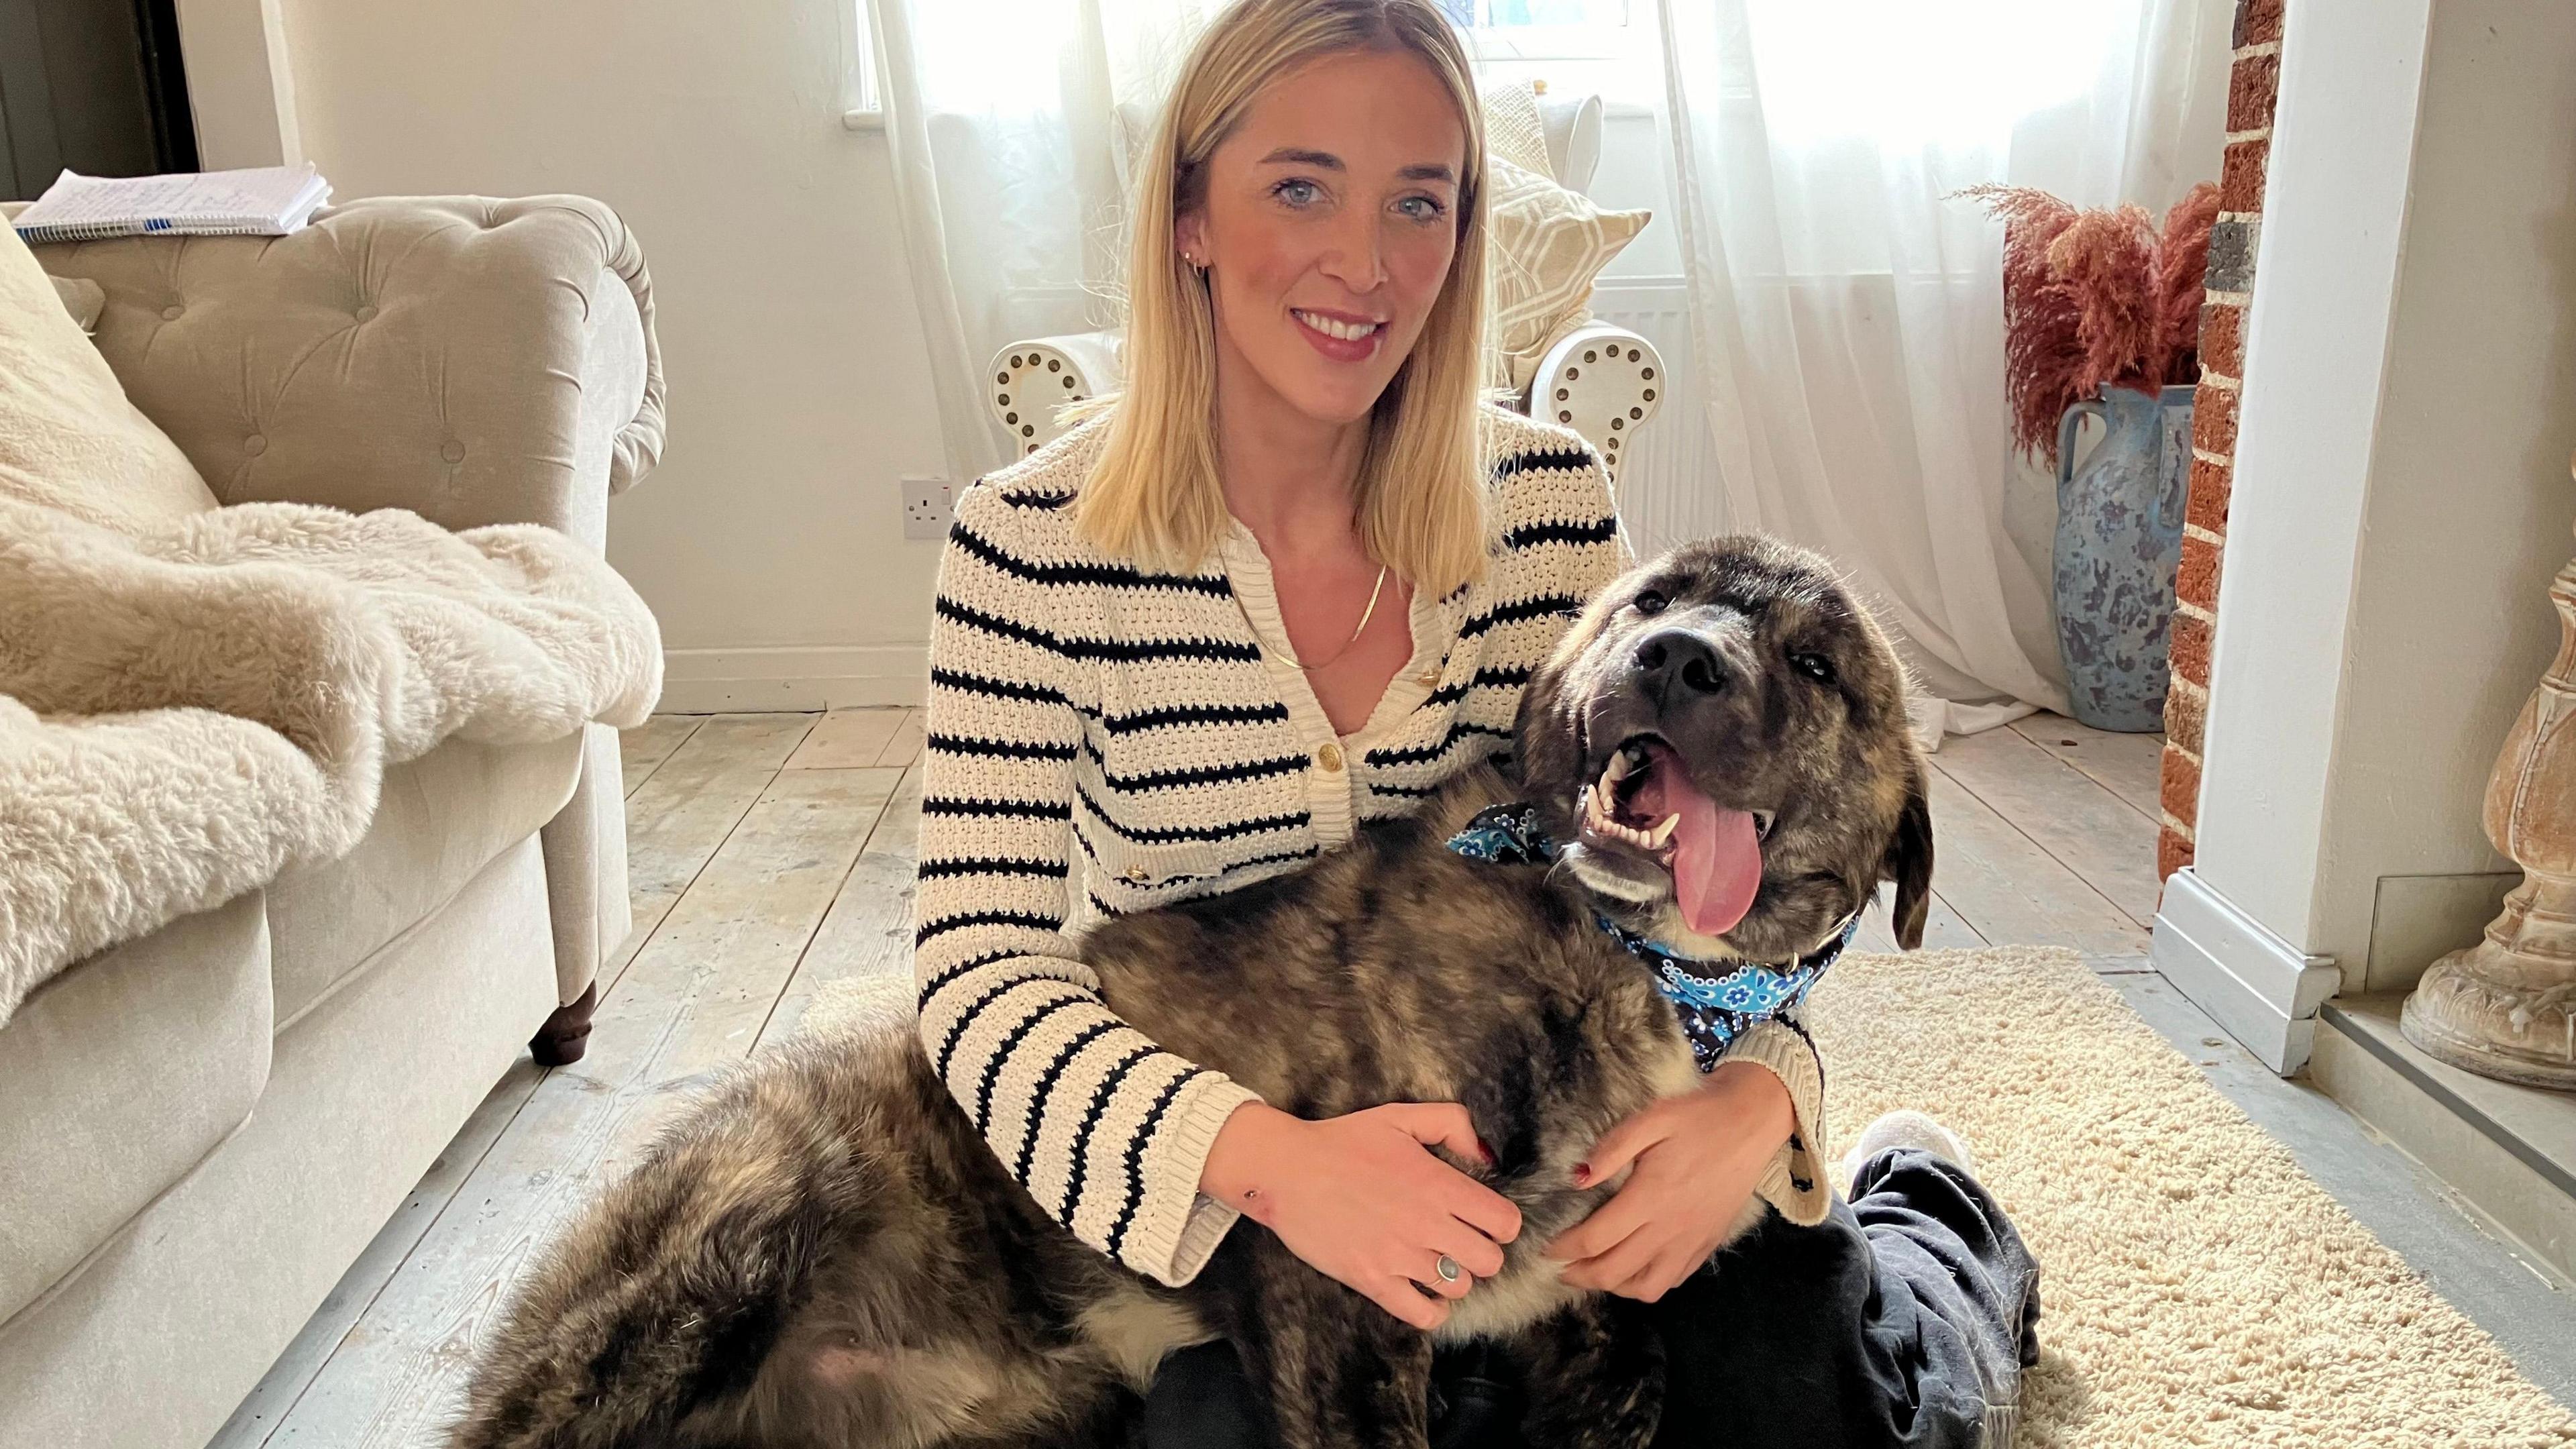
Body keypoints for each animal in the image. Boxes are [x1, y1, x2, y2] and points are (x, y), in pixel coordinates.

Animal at [453, 539, 1927, 1444]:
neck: (1635, 964)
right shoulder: (1340, 1291)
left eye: (1817, 664)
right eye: (1651, 597)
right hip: (735, 1241)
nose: (1675, 657)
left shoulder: (1601, 1322)